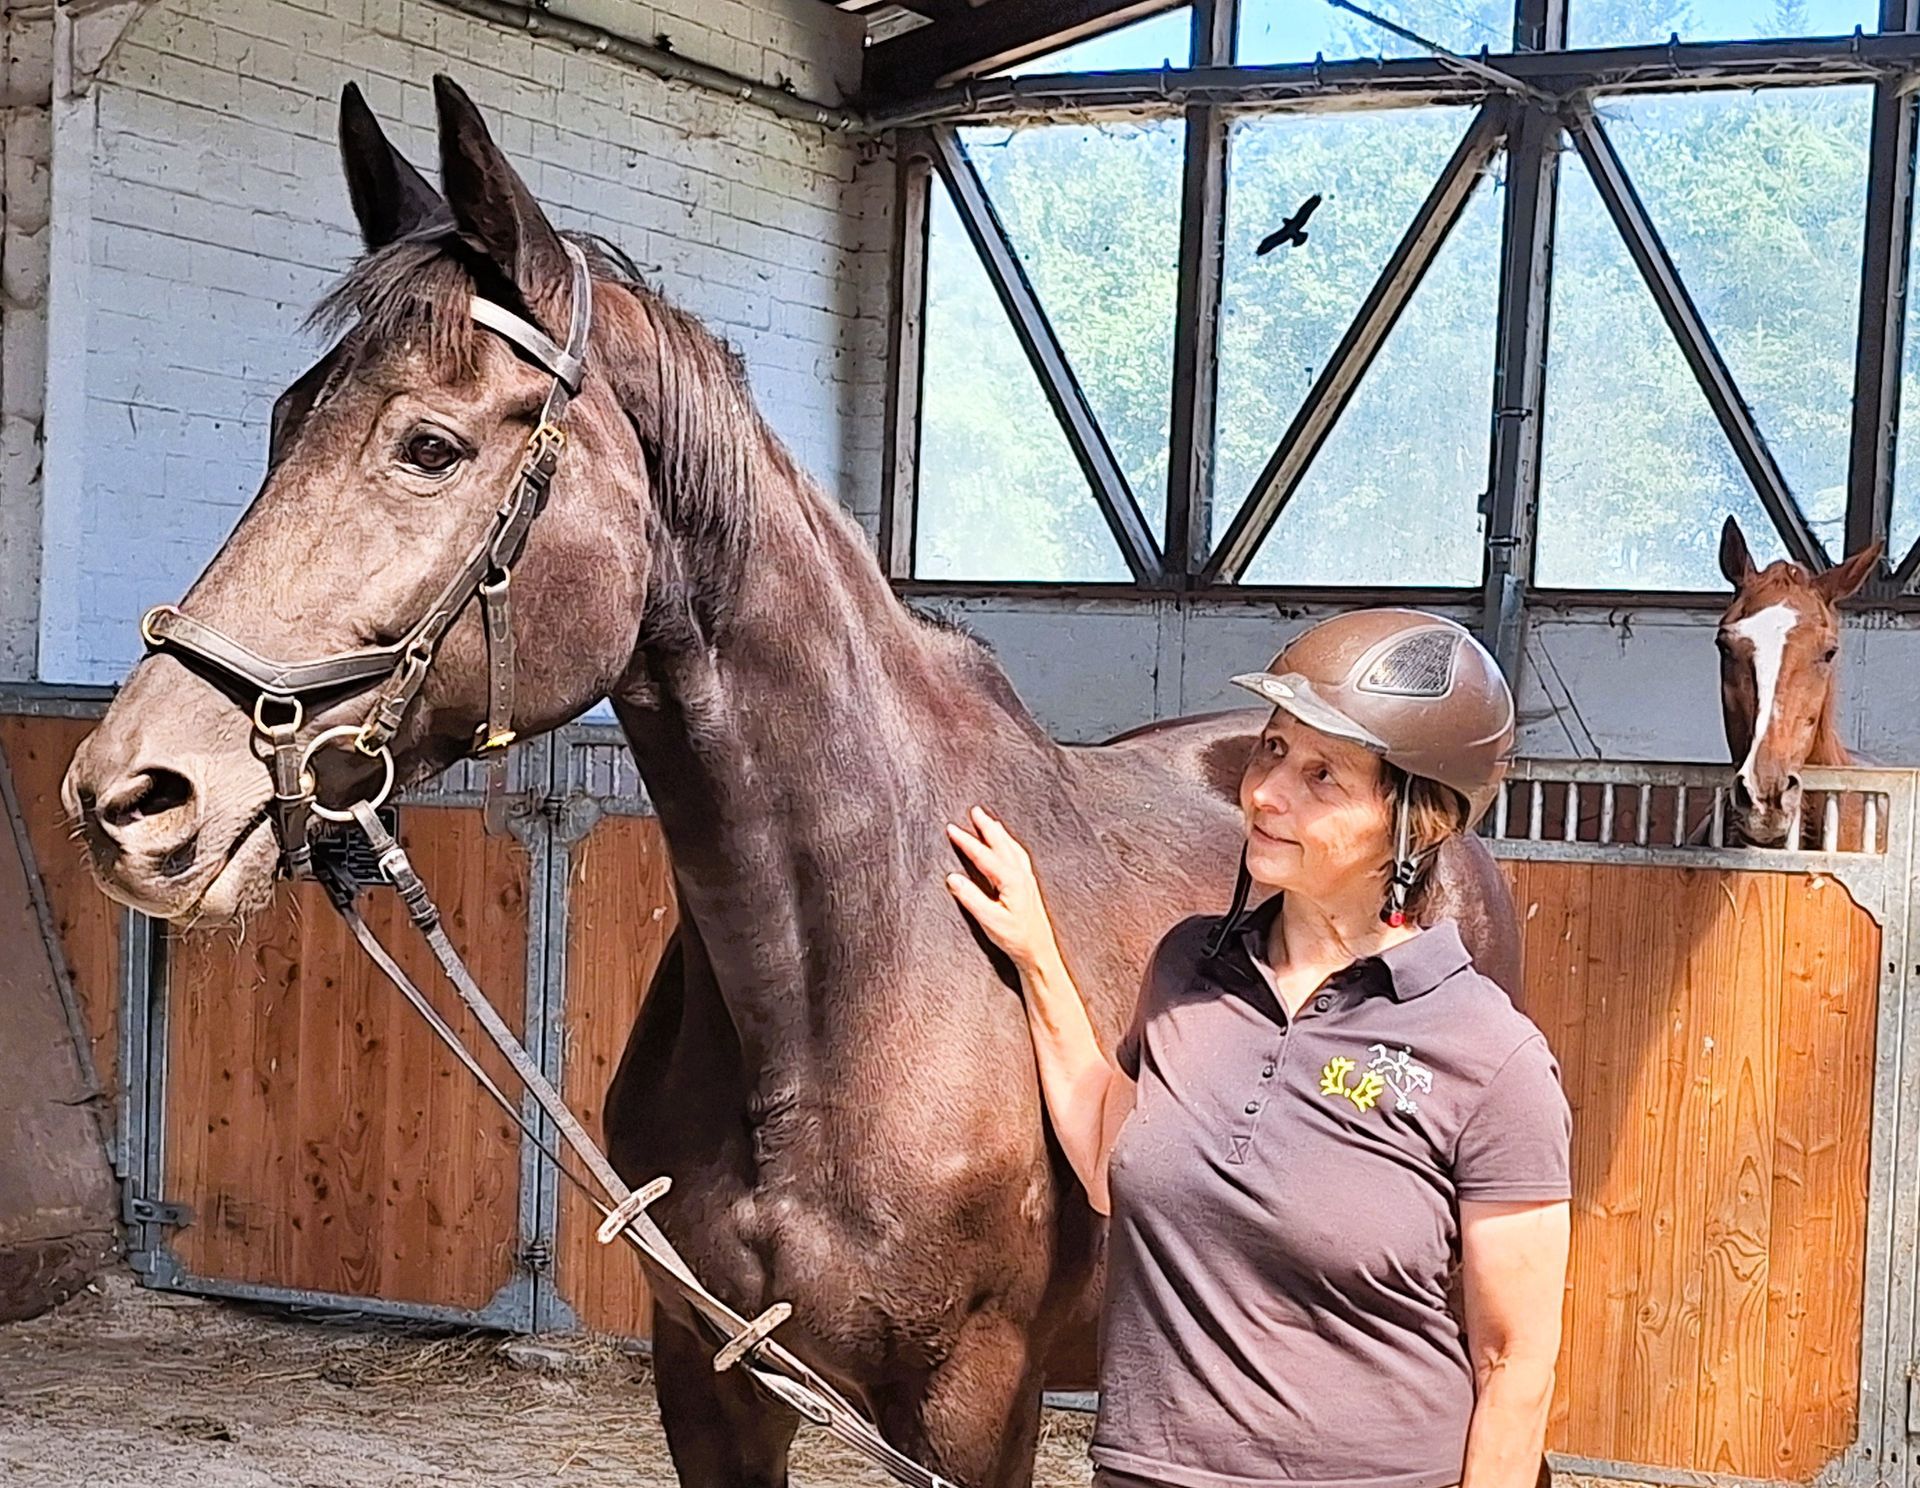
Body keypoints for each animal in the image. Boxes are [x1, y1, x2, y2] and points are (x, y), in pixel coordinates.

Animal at [61, 77, 1522, 1488]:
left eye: (428, 446)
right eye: (281, 422)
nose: (132, 796)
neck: (849, 981)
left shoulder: (973, 1407)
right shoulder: (714, 1385)